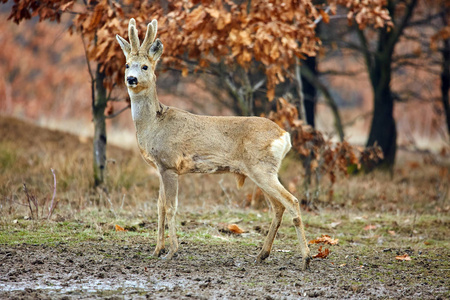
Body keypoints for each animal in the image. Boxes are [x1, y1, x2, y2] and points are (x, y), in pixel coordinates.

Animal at [116, 17, 312, 270]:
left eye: (145, 67)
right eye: (127, 64)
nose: (131, 79)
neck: (154, 124)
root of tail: (284, 135)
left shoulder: (170, 164)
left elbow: (170, 207)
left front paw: (172, 252)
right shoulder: (160, 167)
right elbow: (159, 206)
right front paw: (157, 250)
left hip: (261, 168)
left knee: (292, 201)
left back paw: (306, 258)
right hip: (261, 171)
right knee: (278, 206)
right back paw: (262, 255)